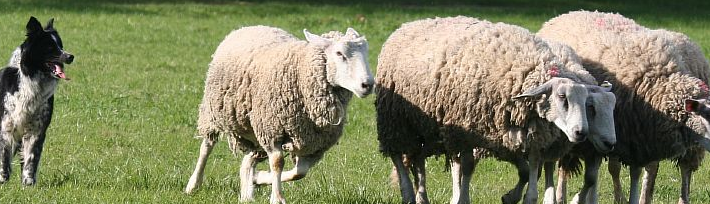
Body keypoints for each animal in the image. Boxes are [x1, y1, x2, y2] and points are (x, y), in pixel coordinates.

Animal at [0, 16, 73, 185]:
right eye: (50, 47)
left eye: (61, 45)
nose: (70, 57)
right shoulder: (6, 126)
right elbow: (4, 157)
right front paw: (2, 180)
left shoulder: (37, 130)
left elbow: (31, 158)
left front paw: (28, 183)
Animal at [184, 25, 376, 204]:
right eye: (339, 53)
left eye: (366, 52)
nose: (368, 84)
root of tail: (250, 26)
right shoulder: (272, 131)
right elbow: (277, 163)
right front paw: (277, 197)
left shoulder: (314, 145)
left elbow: (299, 173)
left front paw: (260, 178)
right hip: (214, 112)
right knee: (206, 146)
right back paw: (193, 184)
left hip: (255, 127)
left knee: (250, 157)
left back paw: (247, 189)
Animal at [376, 15, 616, 204]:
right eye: (562, 97)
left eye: (586, 103)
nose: (580, 132)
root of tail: (408, 24)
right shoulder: (465, 131)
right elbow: (468, 167)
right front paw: (464, 199)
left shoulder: (524, 137)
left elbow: (529, 171)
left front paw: (514, 197)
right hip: (394, 120)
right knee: (398, 156)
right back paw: (408, 193)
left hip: (421, 128)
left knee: (417, 160)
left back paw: (421, 197)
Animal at [540, 10, 710, 204]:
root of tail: (570, 13)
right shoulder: (628, 136)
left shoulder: (638, 138)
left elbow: (636, 171)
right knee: (565, 165)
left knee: (682, 170)